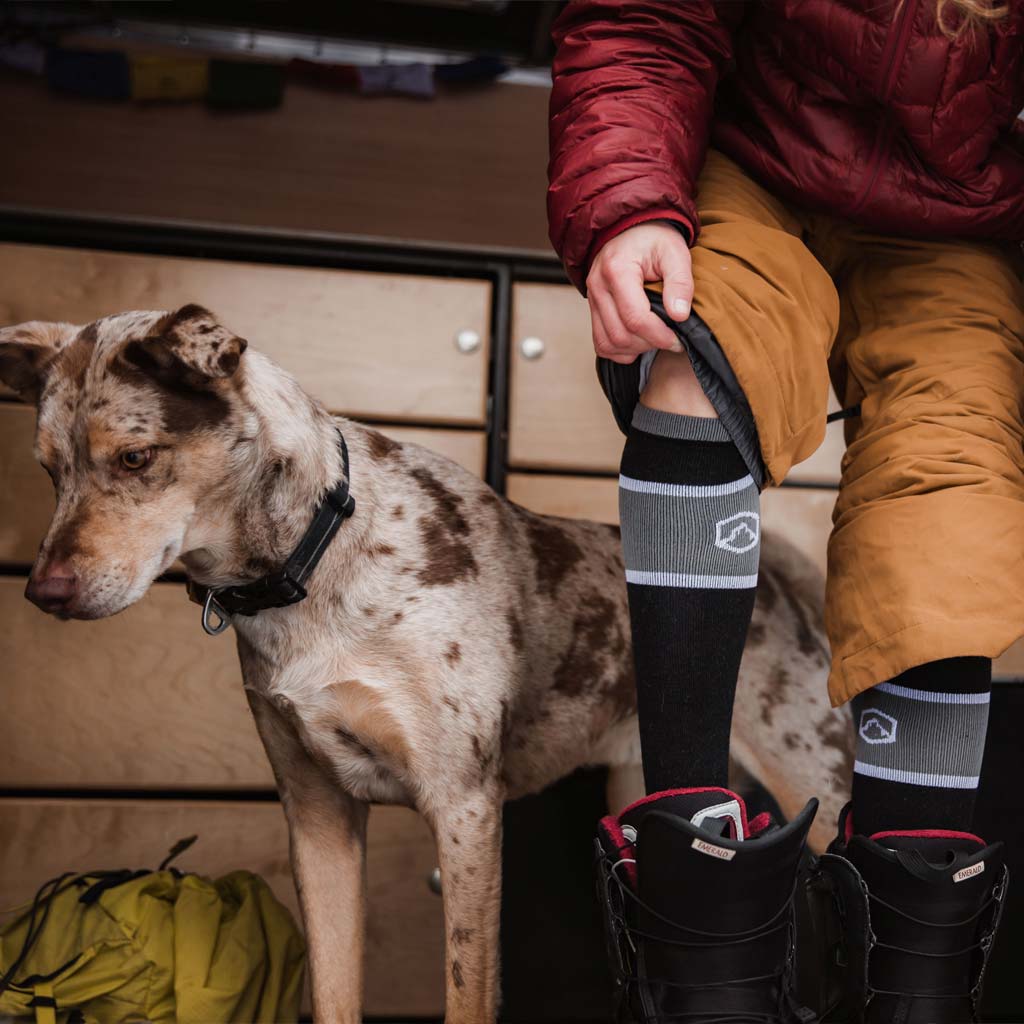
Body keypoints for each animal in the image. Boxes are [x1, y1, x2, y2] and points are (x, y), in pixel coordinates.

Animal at [0, 305, 847, 1024]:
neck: (316, 558)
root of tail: (775, 581)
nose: (42, 591)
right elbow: (334, 991)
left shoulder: (464, 806)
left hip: (819, 776)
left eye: (135, 457)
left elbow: (466, 993)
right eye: (47, 470)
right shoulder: (317, 816)